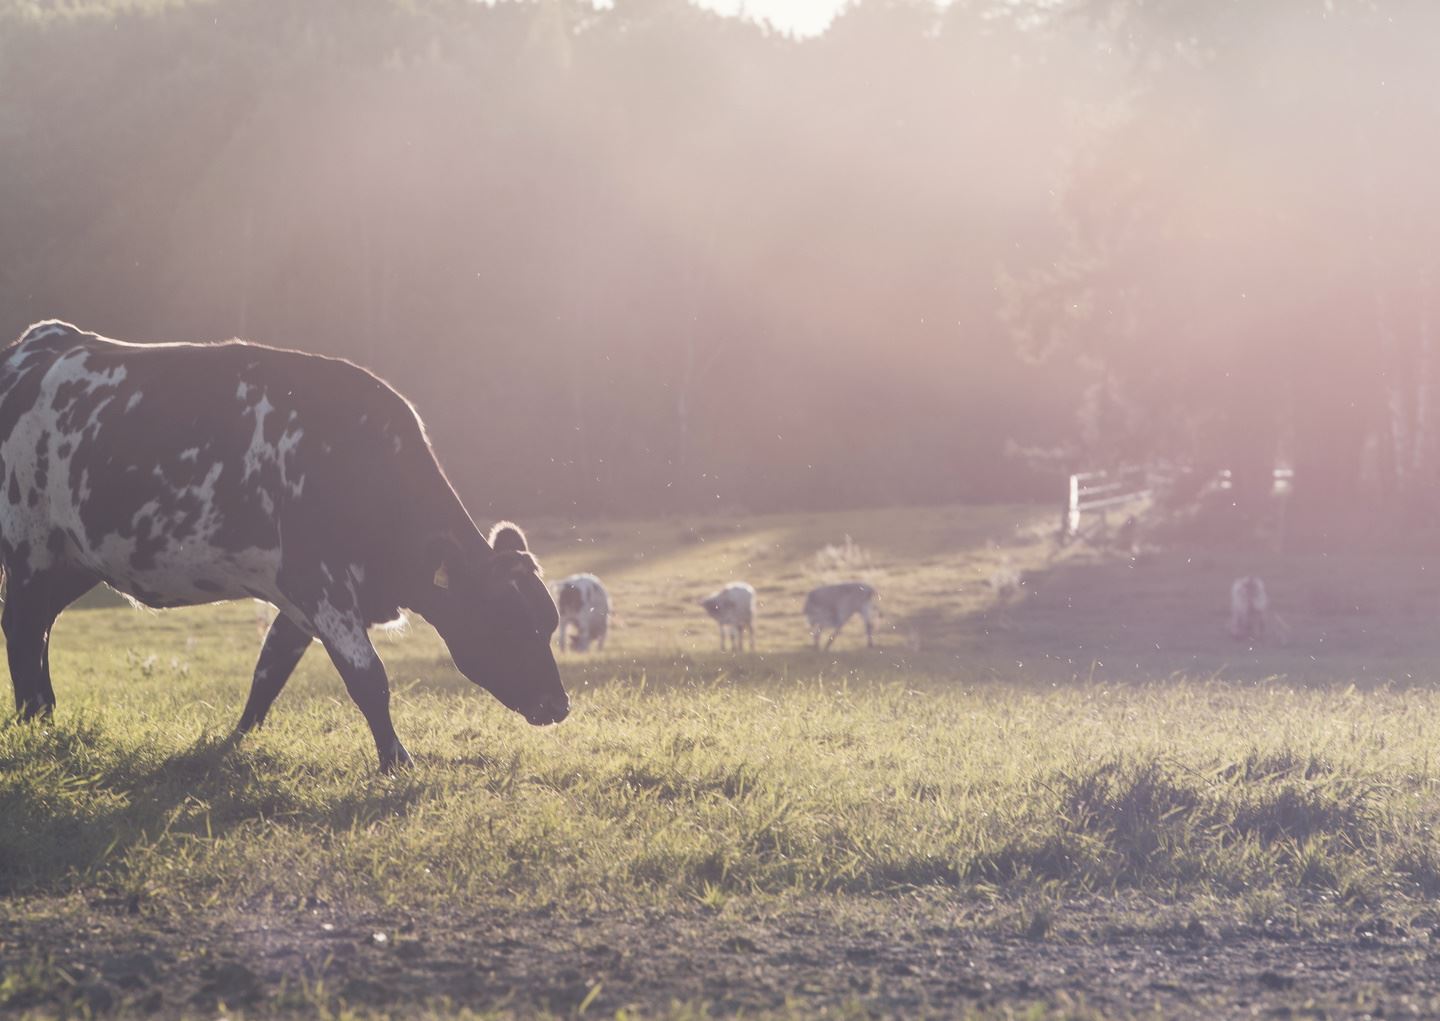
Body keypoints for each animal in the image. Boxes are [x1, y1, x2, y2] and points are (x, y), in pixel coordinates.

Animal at [0, 318, 570, 766]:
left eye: (548, 624)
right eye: (508, 624)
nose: (558, 704)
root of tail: (39, 342)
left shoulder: (301, 601)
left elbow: (268, 672)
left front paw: (234, 742)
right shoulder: (321, 584)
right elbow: (369, 678)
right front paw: (397, 761)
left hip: (69, 560)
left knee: (39, 627)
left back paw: (42, 718)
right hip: (29, 548)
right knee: (22, 627)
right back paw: (36, 723)